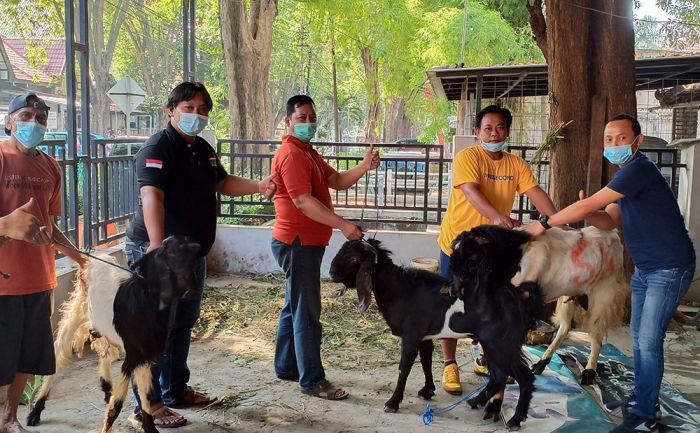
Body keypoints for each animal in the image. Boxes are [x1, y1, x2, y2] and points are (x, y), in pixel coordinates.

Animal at [26, 236, 200, 432]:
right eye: (169, 251)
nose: (197, 246)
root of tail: (89, 259)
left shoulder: (145, 357)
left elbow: (146, 399)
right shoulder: (132, 358)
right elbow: (115, 408)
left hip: (101, 323)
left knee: (104, 350)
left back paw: (106, 387)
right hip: (76, 312)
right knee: (59, 356)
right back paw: (36, 411)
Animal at [330, 228, 540, 426]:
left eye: (354, 258)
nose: (332, 273)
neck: (400, 289)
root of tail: (519, 299)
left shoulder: (411, 335)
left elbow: (404, 367)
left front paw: (393, 402)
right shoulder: (424, 336)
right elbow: (426, 361)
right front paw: (427, 390)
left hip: (501, 344)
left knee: (521, 376)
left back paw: (514, 419)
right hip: (496, 344)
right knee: (500, 375)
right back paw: (477, 402)